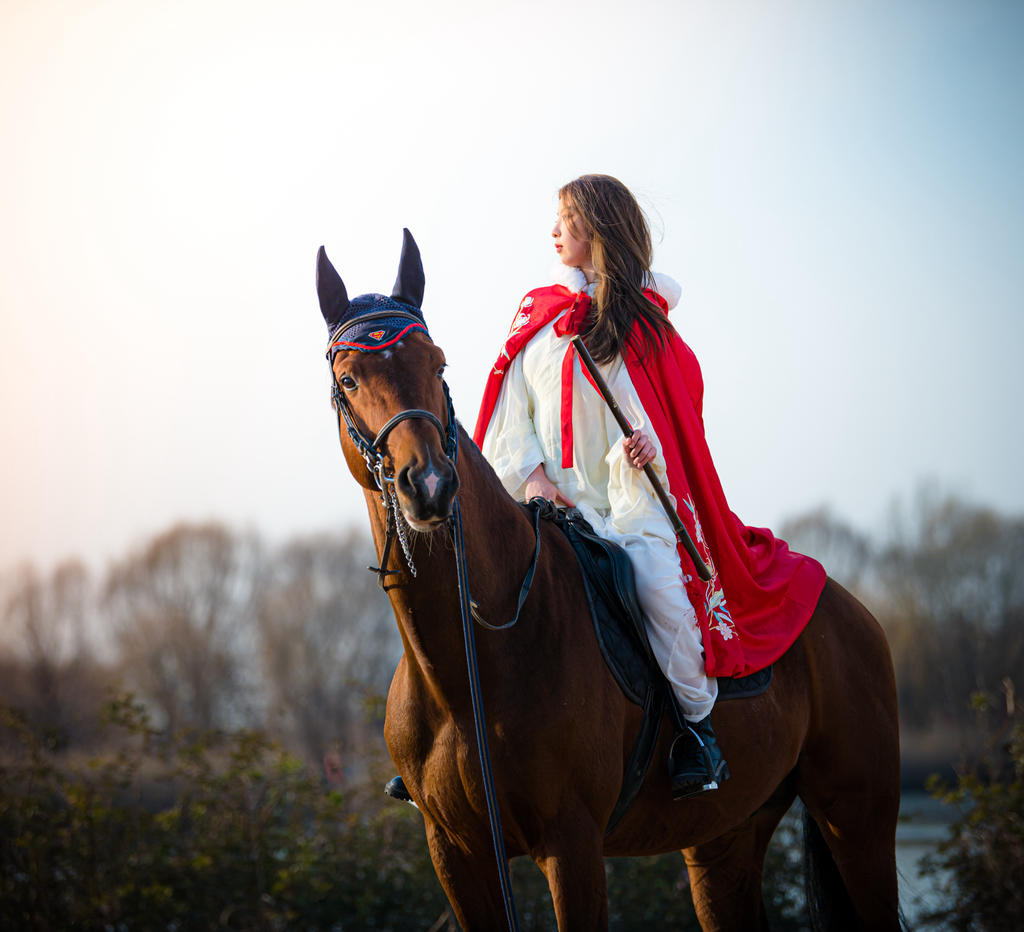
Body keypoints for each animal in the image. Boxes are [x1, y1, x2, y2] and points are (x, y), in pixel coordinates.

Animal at [313, 233, 905, 932]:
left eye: (438, 365)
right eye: (348, 379)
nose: (428, 484)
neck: (474, 662)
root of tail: (849, 609)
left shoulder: (572, 845)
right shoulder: (457, 854)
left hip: (859, 823)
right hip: (726, 838)